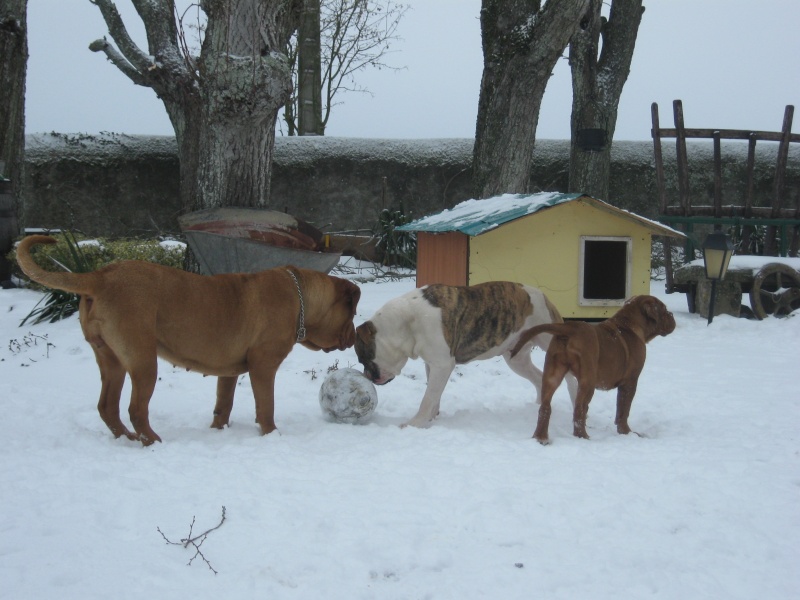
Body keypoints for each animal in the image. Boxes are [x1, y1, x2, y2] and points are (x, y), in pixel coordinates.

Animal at [16, 237, 360, 442]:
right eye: (352, 313)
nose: (356, 336)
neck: (301, 298)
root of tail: (100, 276)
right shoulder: (264, 367)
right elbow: (266, 407)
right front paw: (272, 435)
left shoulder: (229, 372)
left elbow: (223, 405)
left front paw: (218, 432)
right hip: (143, 360)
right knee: (136, 408)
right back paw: (152, 442)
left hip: (110, 359)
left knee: (107, 406)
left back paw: (127, 438)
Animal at [354, 282, 576, 426]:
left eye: (362, 358)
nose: (368, 376)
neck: (406, 322)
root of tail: (544, 296)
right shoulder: (433, 364)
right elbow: (434, 394)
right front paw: (431, 417)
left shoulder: (442, 365)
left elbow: (428, 397)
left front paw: (415, 423)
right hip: (517, 359)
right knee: (538, 378)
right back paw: (537, 407)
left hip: (551, 341)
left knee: (571, 379)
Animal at [510, 296, 672, 446]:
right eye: (664, 310)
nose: (671, 315)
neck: (629, 324)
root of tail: (570, 327)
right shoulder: (630, 382)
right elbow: (624, 411)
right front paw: (627, 433)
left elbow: (620, 411)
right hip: (587, 382)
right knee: (579, 410)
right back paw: (583, 437)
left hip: (552, 375)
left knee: (545, 407)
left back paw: (541, 437)